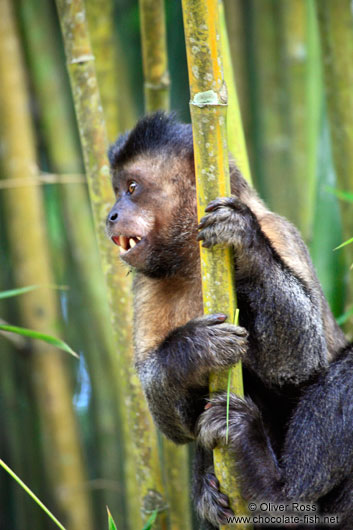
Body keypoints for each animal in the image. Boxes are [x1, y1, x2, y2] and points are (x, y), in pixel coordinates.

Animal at [104, 113, 346, 524]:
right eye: (117, 189)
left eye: (132, 188)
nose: (111, 215)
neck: (192, 257)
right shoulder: (146, 285)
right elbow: (171, 419)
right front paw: (193, 350)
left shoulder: (279, 231)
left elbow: (300, 362)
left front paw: (245, 243)